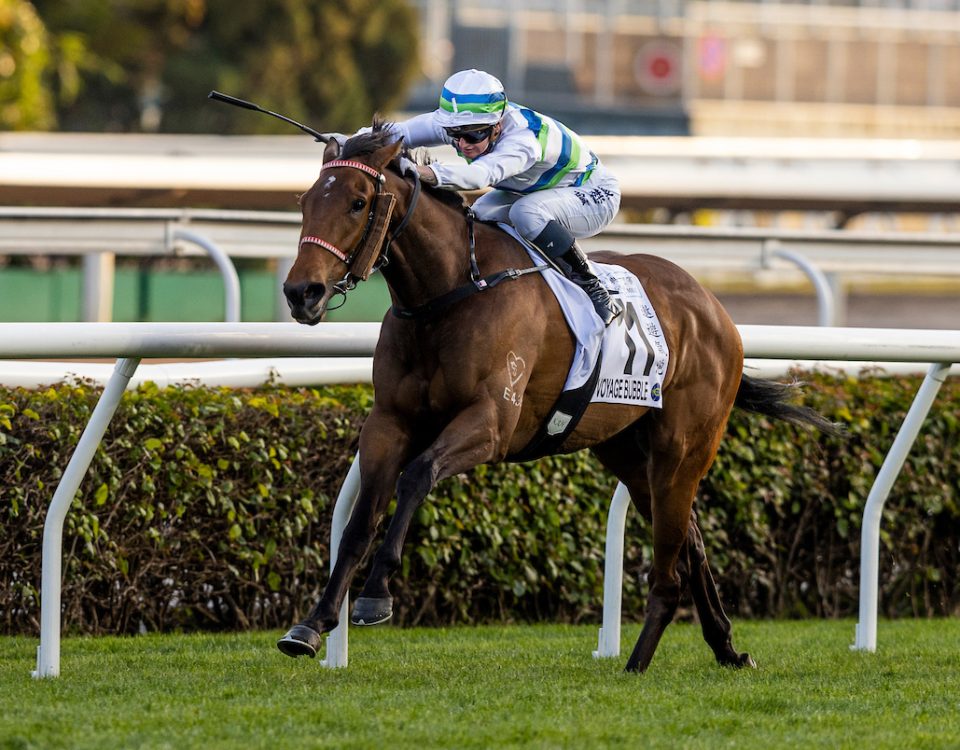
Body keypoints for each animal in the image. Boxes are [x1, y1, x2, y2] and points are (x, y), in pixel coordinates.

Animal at [274, 125, 836, 676]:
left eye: (358, 202)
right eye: (305, 201)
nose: (303, 292)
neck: (451, 292)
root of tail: (716, 310)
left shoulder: (492, 422)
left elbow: (417, 476)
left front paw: (375, 596)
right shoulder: (389, 422)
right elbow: (359, 519)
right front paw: (311, 625)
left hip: (684, 449)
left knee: (671, 564)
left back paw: (637, 661)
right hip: (625, 448)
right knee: (691, 543)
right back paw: (725, 647)